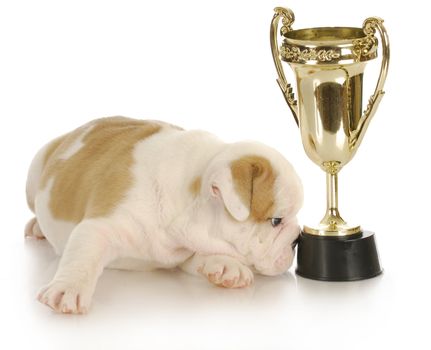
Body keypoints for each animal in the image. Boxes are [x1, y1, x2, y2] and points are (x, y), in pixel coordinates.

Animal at [26, 116, 304, 314]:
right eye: (276, 221)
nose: (296, 240)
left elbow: (200, 258)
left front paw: (226, 266)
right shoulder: (100, 226)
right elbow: (84, 254)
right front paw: (67, 288)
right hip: (35, 169)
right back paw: (36, 227)